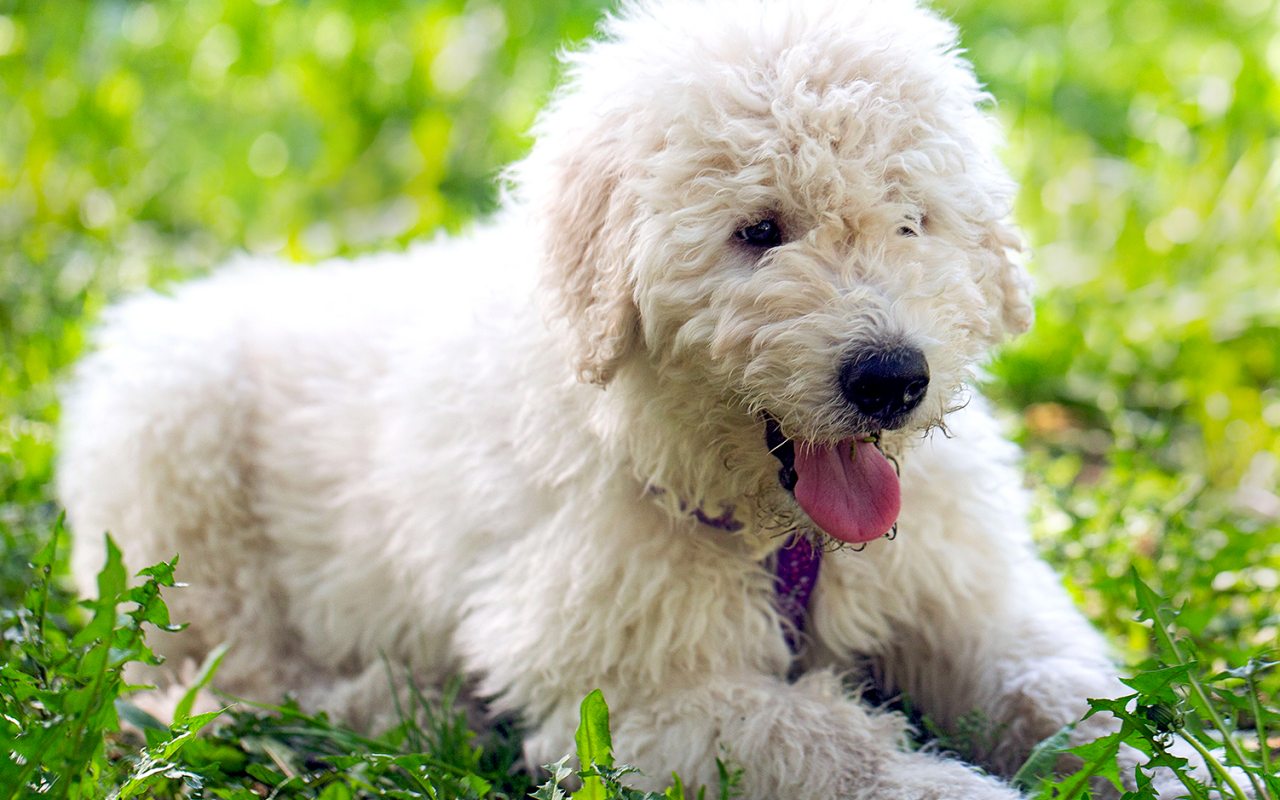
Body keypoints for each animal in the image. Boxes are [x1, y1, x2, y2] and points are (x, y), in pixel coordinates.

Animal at [60, 0, 1141, 793]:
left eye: (912, 222)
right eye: (758, 231)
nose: (891, 378)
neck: (774, 532)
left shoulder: (969, 595)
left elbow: (1063, 687)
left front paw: (1152, 762)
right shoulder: (642, 698)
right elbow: (832, 746)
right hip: (169, 463)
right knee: (210, 682)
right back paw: (405, 706)